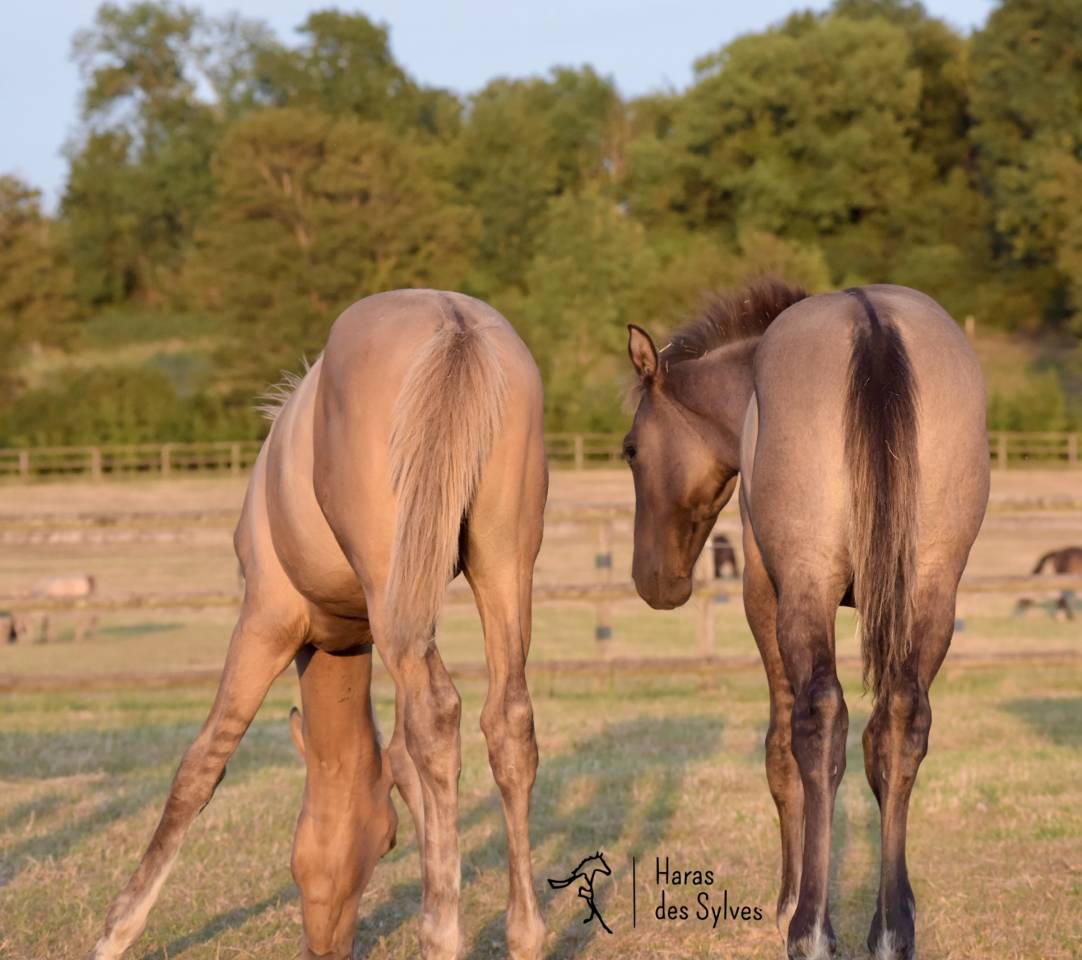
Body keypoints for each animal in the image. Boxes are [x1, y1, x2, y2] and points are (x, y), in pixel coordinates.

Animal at [90, 290, 548, 960]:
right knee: (507, 723)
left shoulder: (264, 620)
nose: (325, 949)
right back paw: (525, 933)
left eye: (384, 843)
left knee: (439, 716)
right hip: (502, 567)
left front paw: (116, 930)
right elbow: (405, 762)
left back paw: (441, 933)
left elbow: (202, 764)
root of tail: (454, 323)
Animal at [623, 278, 989, 960]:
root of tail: (873, 324)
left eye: (631, 450)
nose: (653, 579)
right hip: (933, 589)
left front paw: (789, 903)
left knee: (818, 722)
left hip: (806, 588)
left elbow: (781, 748)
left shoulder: (764, 593)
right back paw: (892, 929)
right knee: (901, 722)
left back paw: (811, 929)